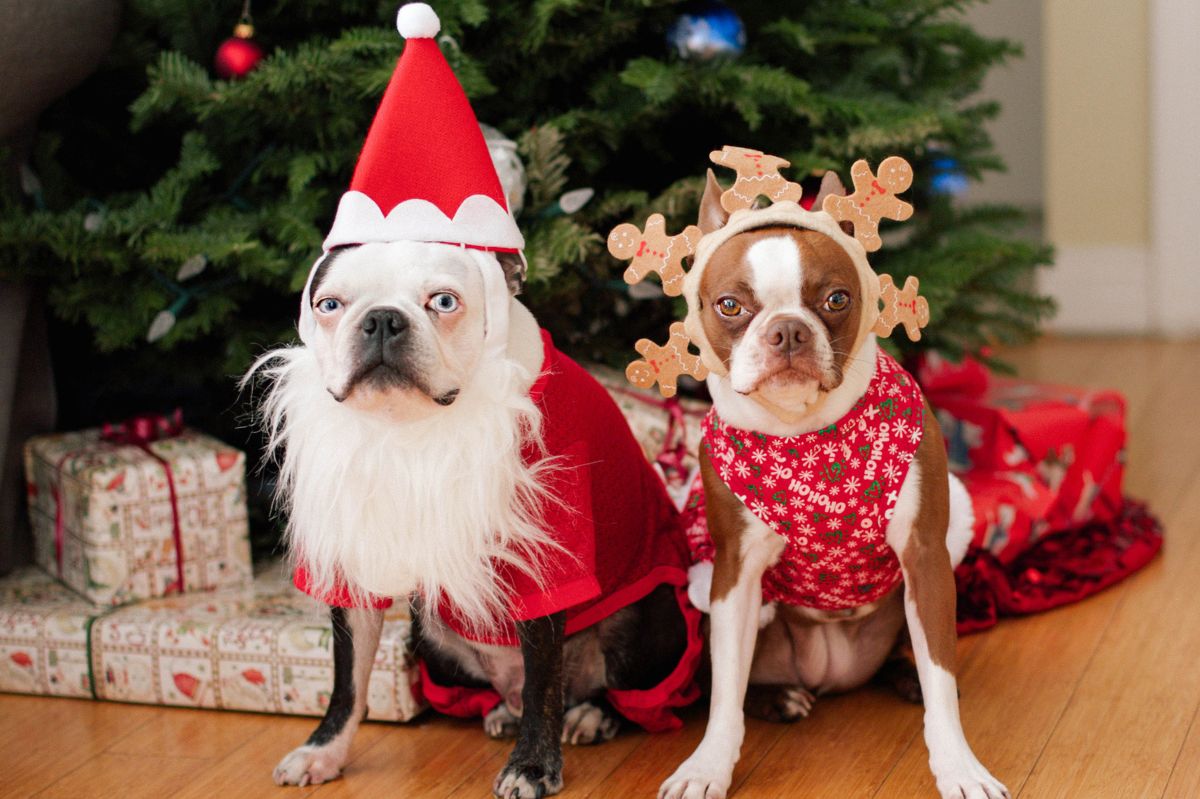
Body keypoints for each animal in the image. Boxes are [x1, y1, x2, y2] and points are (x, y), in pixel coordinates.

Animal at [254, 239, 700, 791]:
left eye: (444, 302)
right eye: (330, 305)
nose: (381, 319)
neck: (412, 429)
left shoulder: (543, 560)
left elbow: (542, 682)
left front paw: (531, 767)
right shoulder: (352, 555)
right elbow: (347, 678)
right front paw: (324, 750)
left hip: (652, 623)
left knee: (601, 691)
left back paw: (591, 715)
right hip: (430, 637)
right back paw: (503, 710)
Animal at [657, 173, 1012, 796]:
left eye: (837, 300)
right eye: (730, 305)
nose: (788, 330)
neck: (807, 438)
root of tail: (831, 674)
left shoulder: (925, 557)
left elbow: (941, 680)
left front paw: (959, 768)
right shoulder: (733, 572)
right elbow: (724, 694)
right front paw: (706, 767)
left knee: (918, 658)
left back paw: (904, 677)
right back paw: (780, 697)